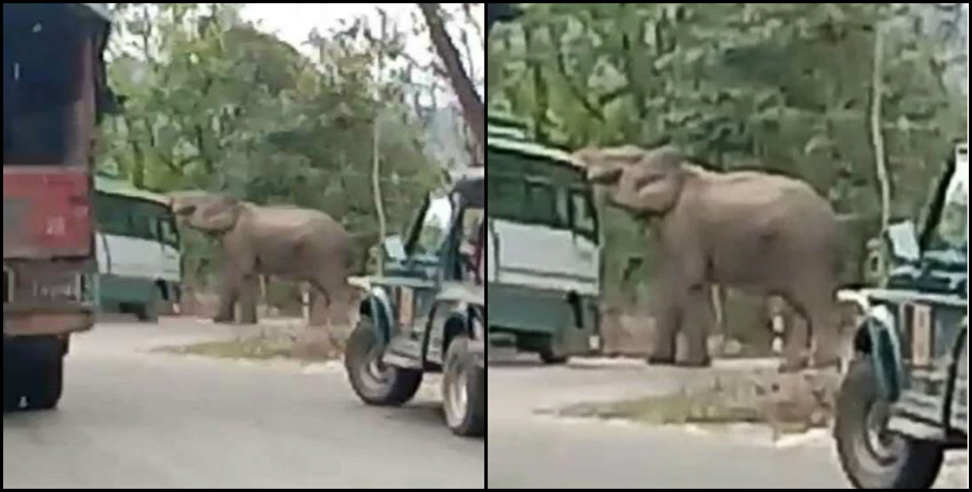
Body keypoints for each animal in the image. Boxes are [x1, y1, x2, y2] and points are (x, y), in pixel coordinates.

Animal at [169, 192, 370, 326]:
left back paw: (338, 325)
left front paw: (229, 322)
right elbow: (240, 275)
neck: (237, 206)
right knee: (327, 288)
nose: (172, 203)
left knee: (335, 288)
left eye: (195, 204)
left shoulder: (240, 238)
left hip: (326, 254)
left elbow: (239, 273)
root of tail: (346, 237)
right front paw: (236, 322)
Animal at [572, 146, 848, 372]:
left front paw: (681, 364)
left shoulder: (685, 225)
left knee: (813, 302)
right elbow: (679, 285)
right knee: (799, 306)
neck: (682, 171)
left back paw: (821, 364)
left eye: (617, 161)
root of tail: (833, 218)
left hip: (808, 251)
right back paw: (792, 367)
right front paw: (674, 362)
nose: (582, 165)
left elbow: (684, 283)